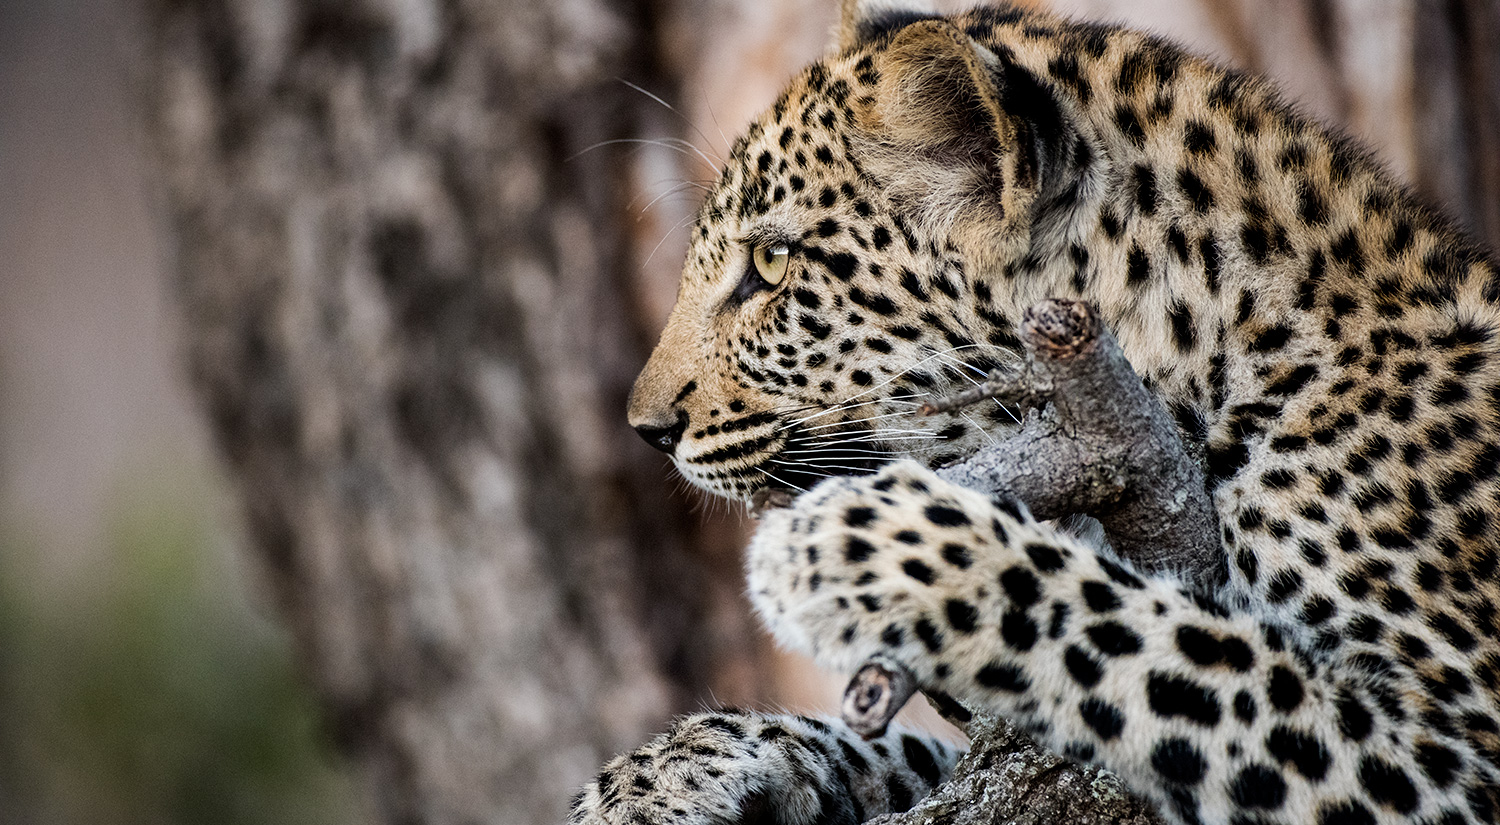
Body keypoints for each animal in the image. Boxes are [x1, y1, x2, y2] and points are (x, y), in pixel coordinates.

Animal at [573, 1, 1500, 823]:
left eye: (771, 264)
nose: (646, 430)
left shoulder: (1454, 747)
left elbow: (1143, 633)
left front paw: (874, 545)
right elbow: (905, 744)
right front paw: (660, 771)